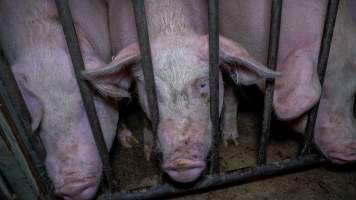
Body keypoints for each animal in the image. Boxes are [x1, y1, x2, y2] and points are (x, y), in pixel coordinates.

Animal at [82, 0, 278, 183]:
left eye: (203, 84)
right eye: (152, 90)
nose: (181, 161)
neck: (170, 27)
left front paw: (230, 143)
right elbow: (145, 119)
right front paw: (149, 154)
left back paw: (231, 141)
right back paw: (129, 142)